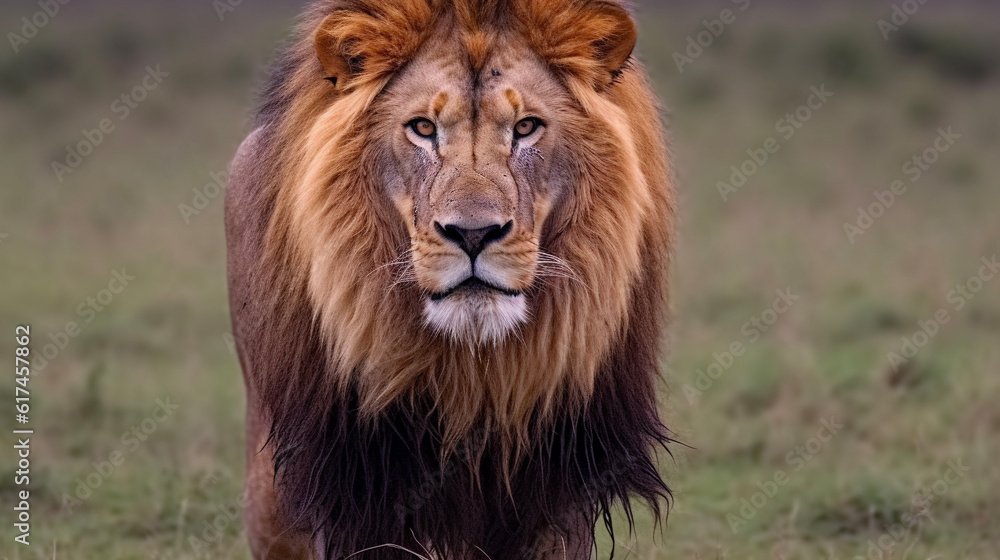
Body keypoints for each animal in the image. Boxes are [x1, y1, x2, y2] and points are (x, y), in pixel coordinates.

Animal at [225, 0, 677, 558]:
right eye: (422, 128)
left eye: (526, 127)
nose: (474, 233)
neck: (473, 374)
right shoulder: (360, 485)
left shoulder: (558, 483)